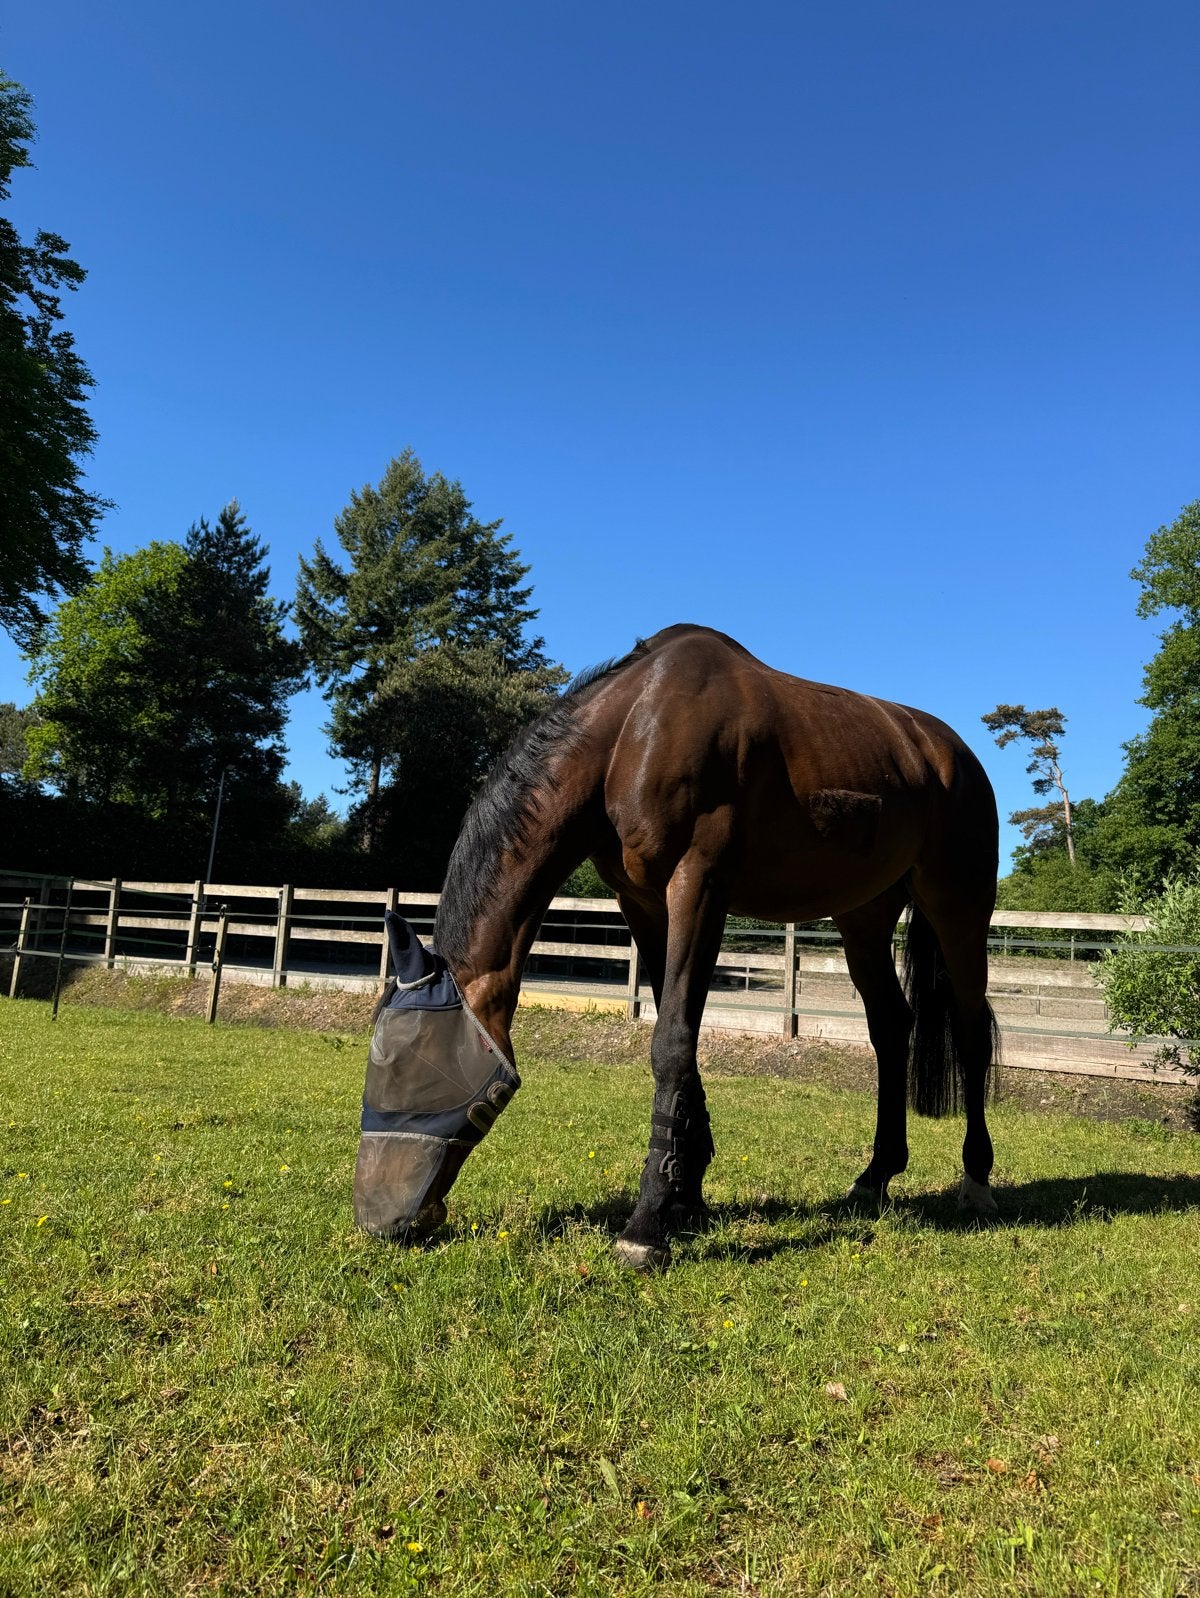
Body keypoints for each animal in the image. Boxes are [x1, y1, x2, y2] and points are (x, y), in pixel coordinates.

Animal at [353, 623, 1001, 1269]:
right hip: (863, 917)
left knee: (971, 1029)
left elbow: (672, 1042)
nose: (377, 1217)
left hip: (958, 908)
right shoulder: (642, 902)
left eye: (409, 1065)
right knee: (891, 1025)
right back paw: (876, 1175)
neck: (632, 731)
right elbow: (675, 1031)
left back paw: (976, 1179)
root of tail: (951, 754)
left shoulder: (698, 884)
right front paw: (684, 1194)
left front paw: (646, 1225)